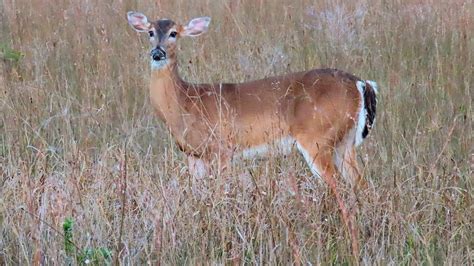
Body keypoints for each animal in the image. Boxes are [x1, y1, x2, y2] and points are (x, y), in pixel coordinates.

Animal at [128, 10, 380, 256]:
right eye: (150, 32)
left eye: (174, 33)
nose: (157, 53)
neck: (186, 102)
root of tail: (361, 83)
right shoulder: (194, 155)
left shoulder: (222, 149)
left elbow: (222, 195)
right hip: (344, 143)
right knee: (361, 184)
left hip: (317, 139)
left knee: (340, 188)